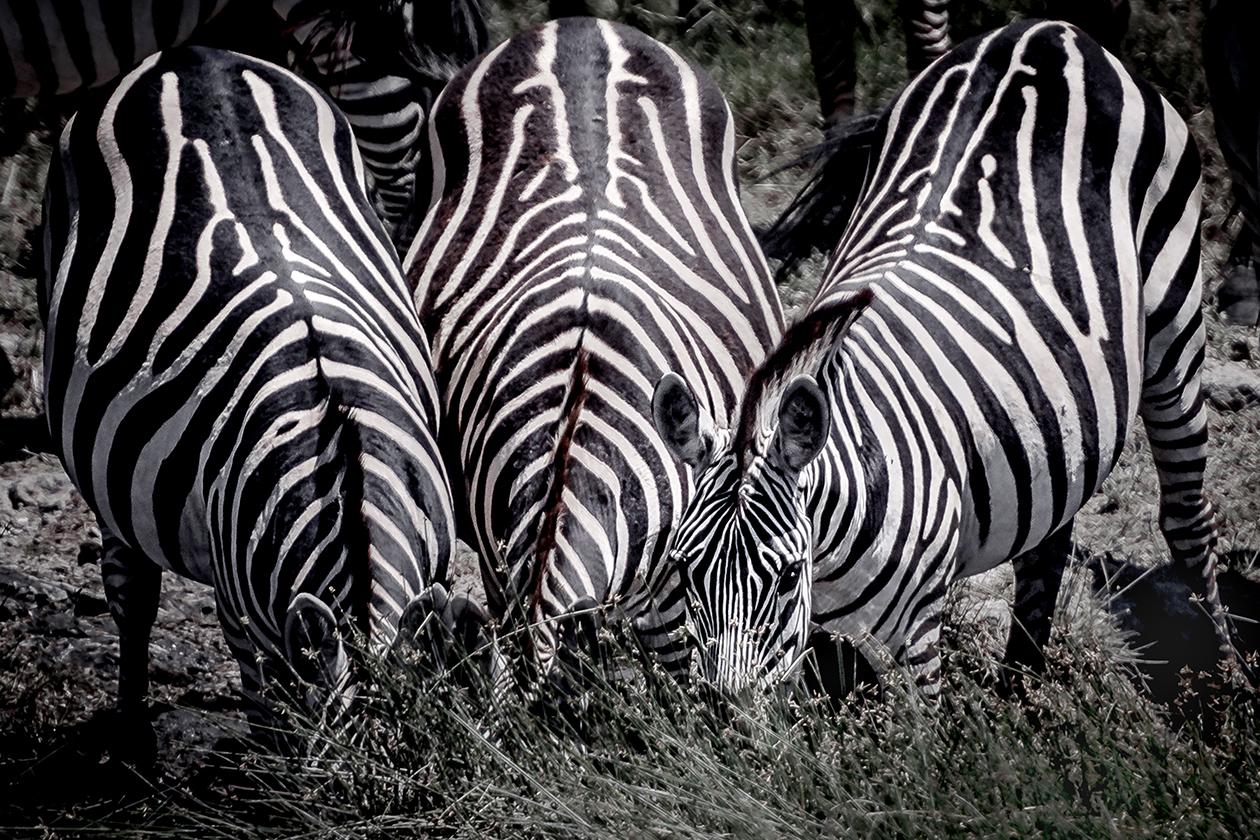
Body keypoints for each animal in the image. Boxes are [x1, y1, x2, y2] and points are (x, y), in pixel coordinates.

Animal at [41, 44, 473, 755]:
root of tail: (191, 55)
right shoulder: (241, 600)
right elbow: (264, 698)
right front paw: (269, 772)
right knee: (131, 590)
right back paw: (133, 735)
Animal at [655, 19, 1224, 695]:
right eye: (686, 571)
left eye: (788, 574)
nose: (726, 707)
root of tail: (1045, 30)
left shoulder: (916, 638)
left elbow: (918, 725)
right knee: (1049, 537)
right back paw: (1020, 683)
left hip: (1174, 315)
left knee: (1189, 516)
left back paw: (1224, 684)